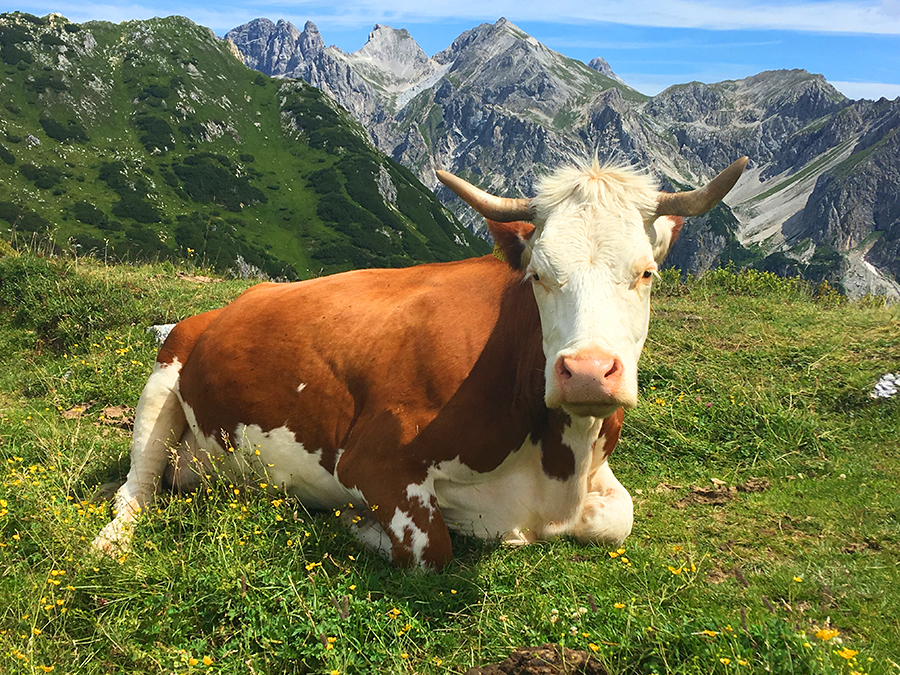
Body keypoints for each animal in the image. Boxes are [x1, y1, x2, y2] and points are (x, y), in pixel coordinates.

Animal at [93, 156, 748, 570]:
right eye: (539, 275)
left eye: (646, 272)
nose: (587, 371)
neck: (555, 463)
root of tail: (228, 304)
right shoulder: (373, 458)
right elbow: (432, 547)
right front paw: (357, 525)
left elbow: (619, 516)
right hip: (162, 382)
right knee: (135, 490)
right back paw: (110, 541)